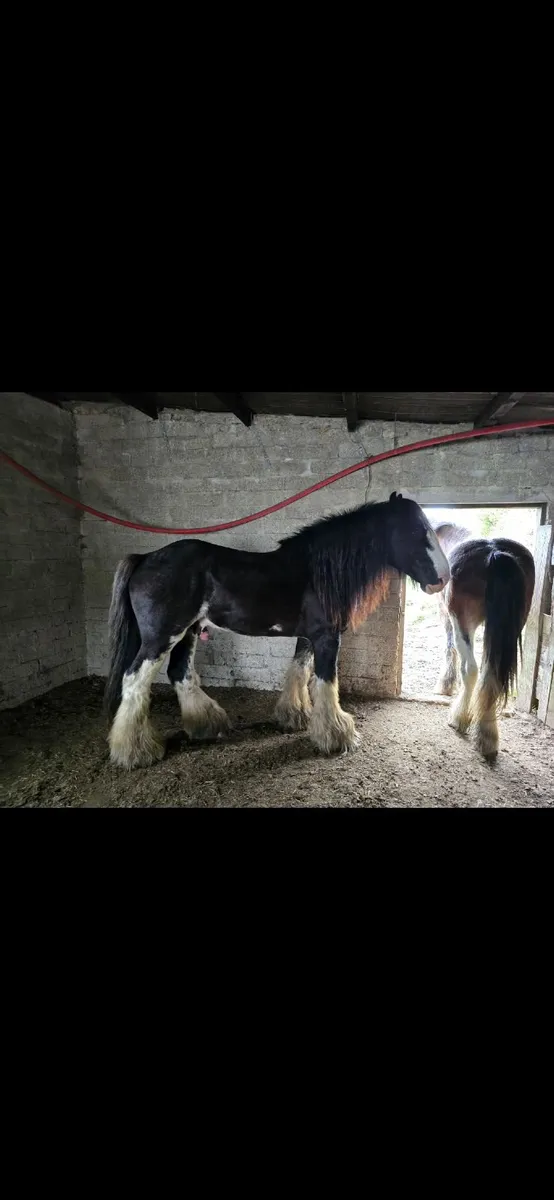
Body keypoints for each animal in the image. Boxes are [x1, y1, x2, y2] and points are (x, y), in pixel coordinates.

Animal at [104, 492, 450, 768]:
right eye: (415, 531)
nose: (443, 579)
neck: (319, 571)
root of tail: (145, 558)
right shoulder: (327, 637)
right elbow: (326, 683)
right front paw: (336, 736)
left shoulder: (309, 637)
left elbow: (299, 671)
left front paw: (295, 717)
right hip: (161, 636)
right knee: (134, 679)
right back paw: (135, 751)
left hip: (187, 632)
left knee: (180, 673)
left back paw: (207, 724)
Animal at [432, 522, 535, 759]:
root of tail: (494, 552)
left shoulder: (446, 615)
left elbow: (449, 647)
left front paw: (445, 685)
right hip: (514, 624)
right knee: (492, 674)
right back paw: (487, 736)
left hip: (463, 621)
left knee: (470, 669)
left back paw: (459, 718)